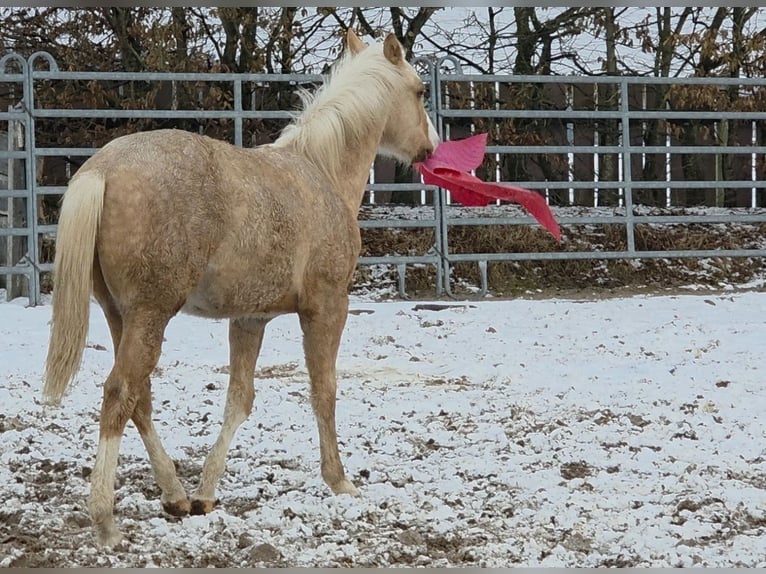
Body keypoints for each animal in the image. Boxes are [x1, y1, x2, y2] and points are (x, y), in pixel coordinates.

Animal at [43, 28, 440, 547]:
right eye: (419, 90)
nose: (431, 148)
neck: (320, 172)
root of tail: (101, 170)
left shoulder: (250, 318)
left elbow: (240, 399)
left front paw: (206, 495)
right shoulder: (328, 307)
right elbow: (323, 390)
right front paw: (339, 480)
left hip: (120, 316)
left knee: (139, 399)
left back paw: (174, 495)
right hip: (150, 315)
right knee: (120, 393)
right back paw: (105, 522)